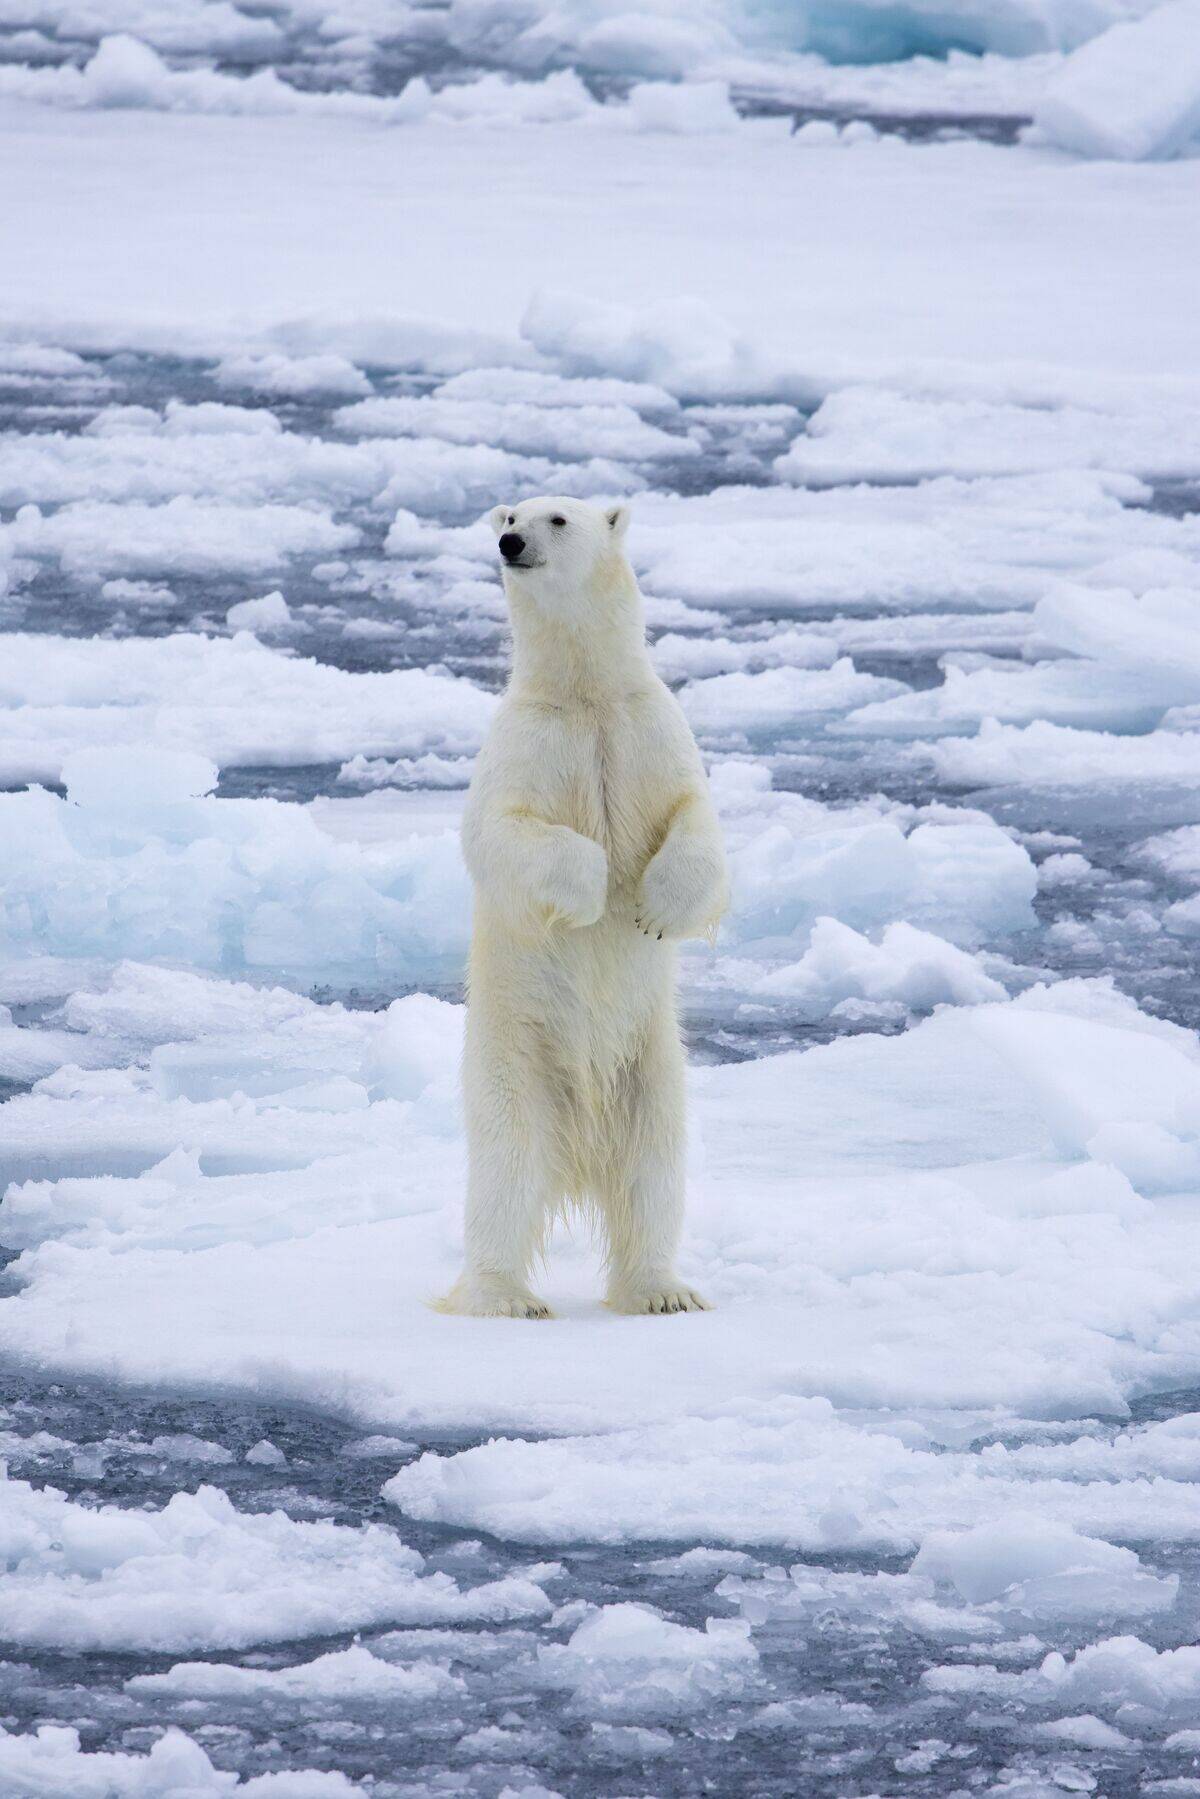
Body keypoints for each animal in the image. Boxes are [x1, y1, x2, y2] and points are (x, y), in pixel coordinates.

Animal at [438, 495, 729, 1320]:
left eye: (557, 518)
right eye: (509, 511)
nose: (510, 542)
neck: (585, 693)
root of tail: (581, 1153)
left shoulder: (649, 729)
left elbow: (696, 817)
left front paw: (657, 908)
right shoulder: (526, 742)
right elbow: (500, 832)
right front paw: (595, 885)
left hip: (651, 1066)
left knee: (653, 1171)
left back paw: (662, 1289)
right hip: (513, 1060)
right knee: (506, 1171)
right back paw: (504, 1295)